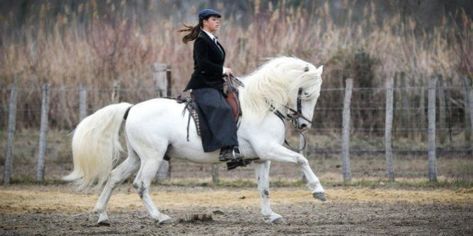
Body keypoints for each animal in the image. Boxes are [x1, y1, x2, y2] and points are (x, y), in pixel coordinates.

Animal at [63, 56, 324, 224]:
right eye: (306, 94)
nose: (304, 125)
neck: (261, 104)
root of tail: (132, 108)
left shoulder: (262, 158)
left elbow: (264, 188)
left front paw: (270, 216)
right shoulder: (270, 149)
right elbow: (301, 160)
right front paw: (318, 191)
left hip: (137, 157)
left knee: (115, 177)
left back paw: (102, 216)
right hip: (152, 157)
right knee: (141, 184)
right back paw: (160, 218)